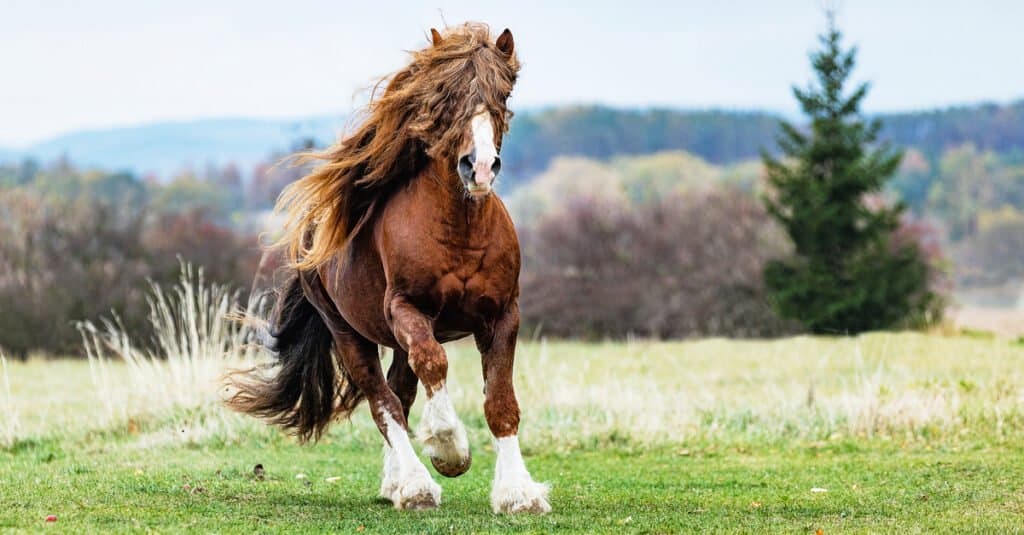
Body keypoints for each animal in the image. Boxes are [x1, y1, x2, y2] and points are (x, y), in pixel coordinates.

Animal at [226, 21, 552, 512]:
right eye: (445, 95)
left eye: (503, 92)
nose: (478, 168)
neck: (460, 231)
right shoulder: (406, 310)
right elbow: (433, 365)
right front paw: (450, 450)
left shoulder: (502, 315)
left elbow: (500, 401)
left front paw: (518, 493)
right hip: (350, 334)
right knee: (384, 403)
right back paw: (415, 486)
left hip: (396, 338)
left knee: (400, 391)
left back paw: (396, 482)